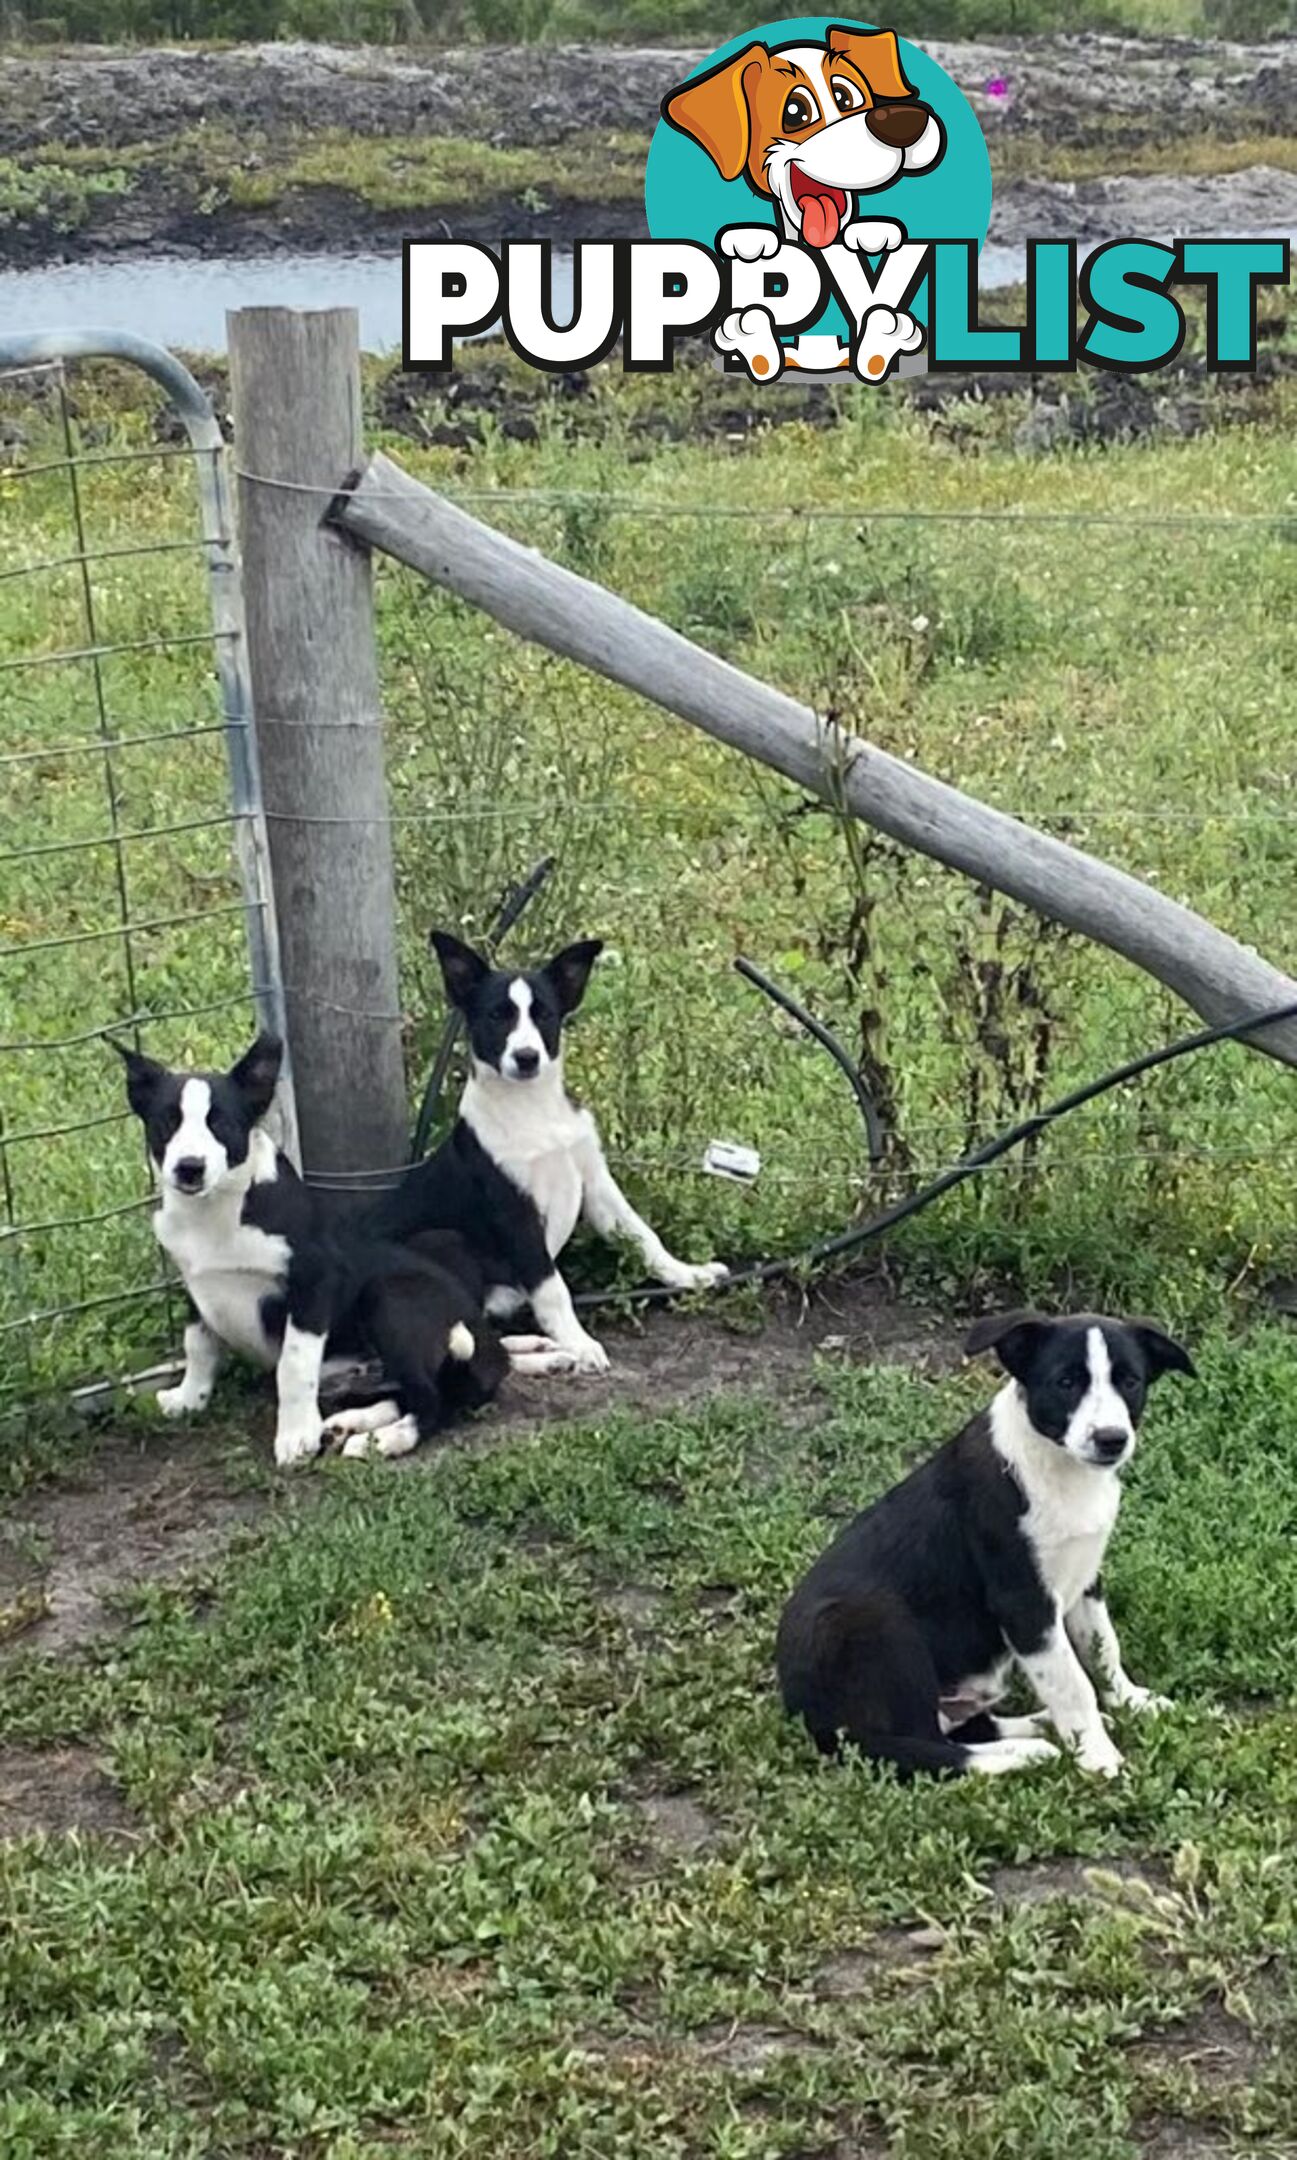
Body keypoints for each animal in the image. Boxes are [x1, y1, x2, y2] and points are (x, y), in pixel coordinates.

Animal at [114, 1032, 505, 1468]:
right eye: (167, 1122)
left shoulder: (315, 1281)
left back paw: (386, 1440)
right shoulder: (194, 1285)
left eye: (222, 1124)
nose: (189, 1168)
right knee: (409, 1391)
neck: (218, 1210)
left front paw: (296, 1437)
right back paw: (350, 1424)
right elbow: (197, 1344)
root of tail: (488, 1341)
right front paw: (188, 1398)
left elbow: (294, 1364)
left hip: (388, 1297)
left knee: (433, 1400)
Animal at [369, 933, 730, 1373]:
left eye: (544, 1015)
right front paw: (581, 1342)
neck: (533, 1108)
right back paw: (552, 1356)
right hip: (442, 1242)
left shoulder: (596, 1183)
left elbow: (644, 1236)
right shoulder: (515, 1212)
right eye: (496, 1015)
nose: (526, 1058)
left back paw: (544, 1351)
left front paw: (688, 1275)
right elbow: (552, 1287)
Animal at [769, 1304, 1193, 1779]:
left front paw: (1131, 1701)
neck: (1059, 1468)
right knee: (918, 1749)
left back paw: (1040, 1727)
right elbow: (1072, 1683)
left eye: (1130, 1381)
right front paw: (1098, 1756)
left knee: (962, 1728)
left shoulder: (1085, 1576)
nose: (1111, 1439)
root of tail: (808, 1718)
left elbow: (1102, 1649)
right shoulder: (1023, 1602)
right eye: (1066, 1382)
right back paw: (1030, 1753)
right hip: (874, 1624)